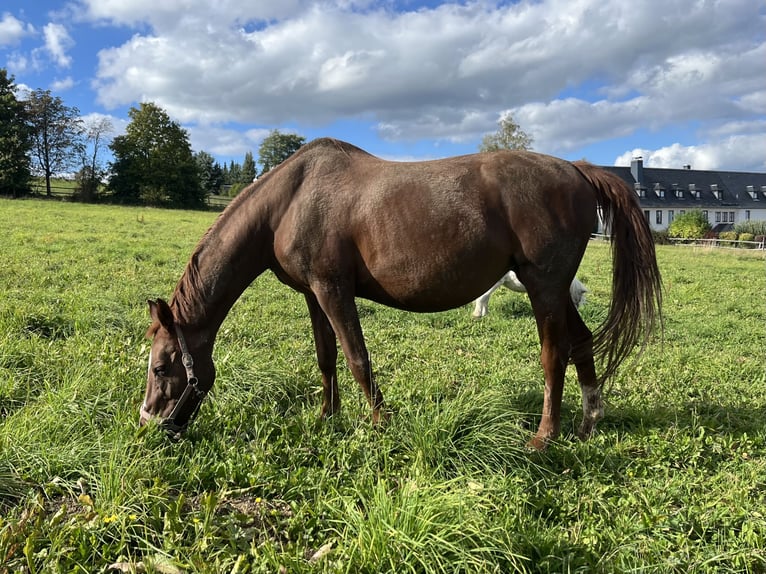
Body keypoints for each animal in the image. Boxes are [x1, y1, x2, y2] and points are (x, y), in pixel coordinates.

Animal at [140, 138, 661, 450]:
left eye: (161, 367)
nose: (149, 424)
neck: (291, 200)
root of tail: (577, 169)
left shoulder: (333, 290)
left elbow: (357, 357)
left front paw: (379, 422)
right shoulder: (314, 295)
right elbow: (326, 356)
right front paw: (327, 417)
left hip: (544, 288)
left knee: (555, 354)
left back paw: (544, 437)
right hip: (554, 292)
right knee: (582, 342)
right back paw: (588, 422)